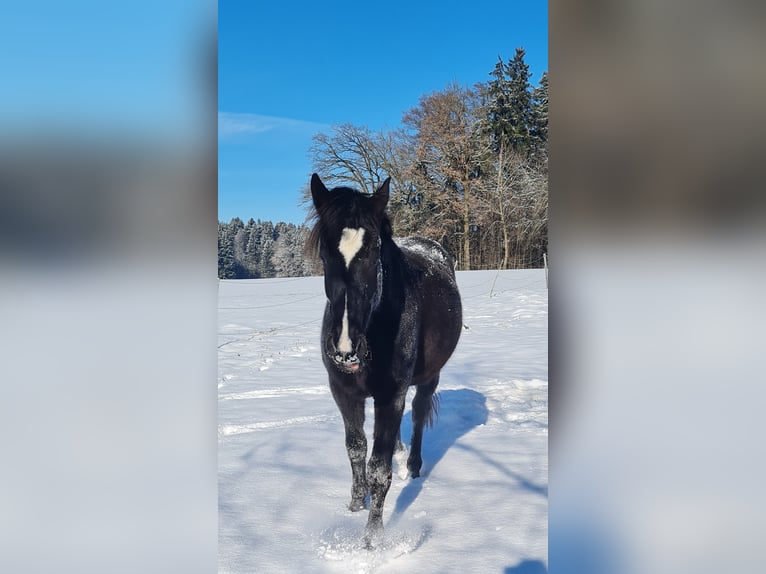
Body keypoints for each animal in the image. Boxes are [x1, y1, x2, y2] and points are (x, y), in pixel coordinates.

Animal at [307, 173, 463, 546]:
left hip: (428, 378)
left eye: (372, 251)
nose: (345, 348)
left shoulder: (391, 395)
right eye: (324, 253)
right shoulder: (344, 393)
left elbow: (378, 468)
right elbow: (355, 449)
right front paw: (354, 504)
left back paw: (413, 467)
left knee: (418, 414)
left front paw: (372, 540)